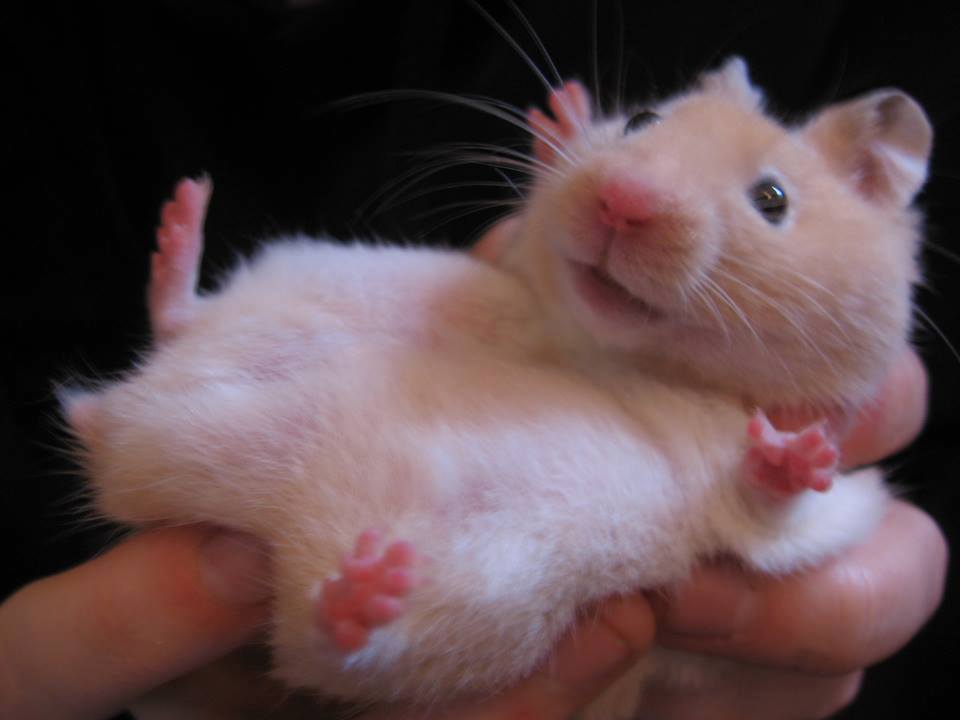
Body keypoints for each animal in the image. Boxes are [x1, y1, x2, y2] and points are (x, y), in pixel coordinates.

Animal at [62, 58, 931, 719]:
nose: (623, 200)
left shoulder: (788, 533)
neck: (609, 354)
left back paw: (364, 593)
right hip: (283, 289)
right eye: (641, 119)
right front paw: (563, 115)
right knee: (177, 321)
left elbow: (768, 501)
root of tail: (121, 436)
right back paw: (180, 223)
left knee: (330, 646)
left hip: (447, 627)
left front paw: (800, 451)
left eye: (772, 201)